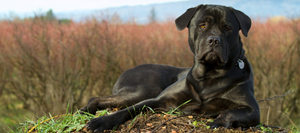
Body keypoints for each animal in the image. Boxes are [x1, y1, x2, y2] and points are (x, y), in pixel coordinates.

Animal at [80, 4, 260, 132]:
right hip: (144, 90)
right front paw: (102, 121)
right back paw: (86, 111)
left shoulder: (252, 109)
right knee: (98, 98)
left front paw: (220, 122)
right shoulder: (159, 100)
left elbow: (230, 112)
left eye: (227, 28)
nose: (214, 40)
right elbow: (129, 110)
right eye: (202, 25)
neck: (209, 75)